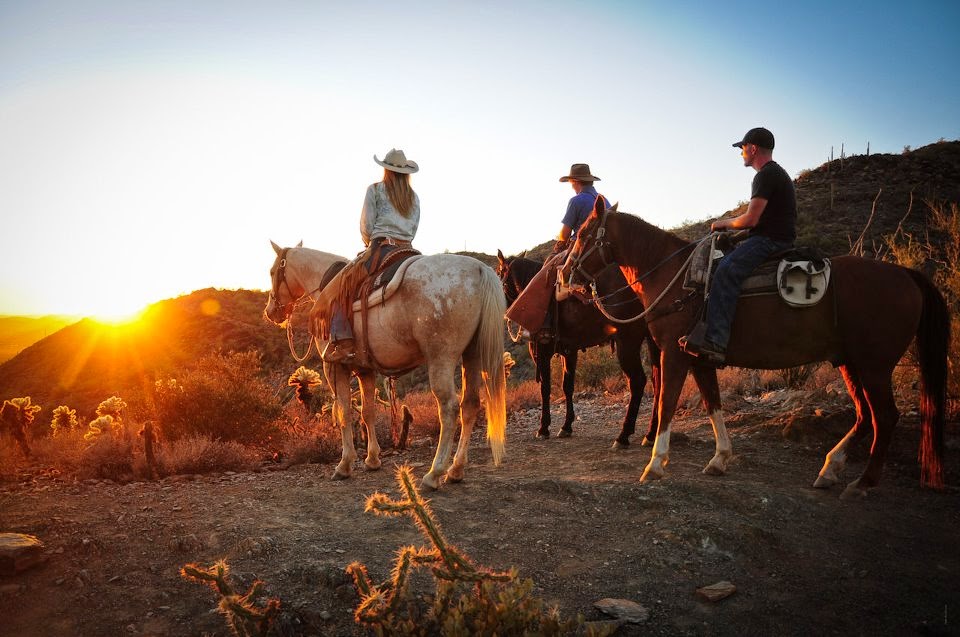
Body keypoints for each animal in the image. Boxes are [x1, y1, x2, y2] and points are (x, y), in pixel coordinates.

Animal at [258, 241, 506, 490]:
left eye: (272, 271)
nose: (270, 312)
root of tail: (479, 270)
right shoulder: (365, 369)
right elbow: (367, 411)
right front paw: (372, 459)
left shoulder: (335, 368)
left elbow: (343, 411)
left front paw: (345, 464)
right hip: (473, 356)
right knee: (470, 405)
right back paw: (455, 470)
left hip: (441, 359)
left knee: (449, 408)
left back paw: (434, 473)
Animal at [496, 250, 660, 448]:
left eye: (498, 272)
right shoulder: (569, 351)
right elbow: (568, 386)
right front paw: (566, 426)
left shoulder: (542, 352)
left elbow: (545, 388)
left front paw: (543, 428)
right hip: (653, 339)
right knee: (658, 381)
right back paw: (651, 433)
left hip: (628, 342)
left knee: (637, 382)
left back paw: (624, 435)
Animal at [560, 196, 948, 494]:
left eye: (584, 234)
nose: (565, 275)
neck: (676, 277)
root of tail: (906, 274)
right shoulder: (699, 357)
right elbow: (713, 404)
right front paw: (719, 458)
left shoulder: (673, 353)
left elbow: (667, 403)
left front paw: (655, 464)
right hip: (850, 362)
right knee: (866, 416)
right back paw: (830, 470)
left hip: (874, 365)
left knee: (885, 417)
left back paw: (863, 483)